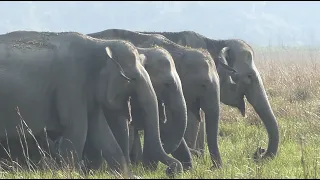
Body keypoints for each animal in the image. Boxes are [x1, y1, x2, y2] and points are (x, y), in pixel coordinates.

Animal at [0, 30, 182, 177]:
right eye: (133, 79)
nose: (171, 170)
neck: (99, 43)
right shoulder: (71, 82)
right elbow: (77, 129)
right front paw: (70, 174)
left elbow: (100, 131)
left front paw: (128, 176)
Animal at [139, 29, 278, 162]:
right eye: (249, 76)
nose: (259, 151)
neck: (216, 42)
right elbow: (192, 120)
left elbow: (199, 118)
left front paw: (200, 160)